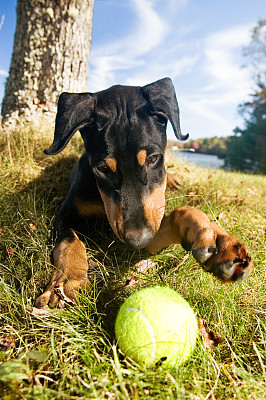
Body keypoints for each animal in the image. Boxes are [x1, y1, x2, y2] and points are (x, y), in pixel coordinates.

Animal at [35, 79, 251, 310]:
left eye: (153, 158)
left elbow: (182, 212)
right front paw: (65, 282)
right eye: (102, 168)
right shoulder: (65, 215)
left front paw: (217, 242)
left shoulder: (154, 221)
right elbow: (70, 242)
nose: (137, 241)